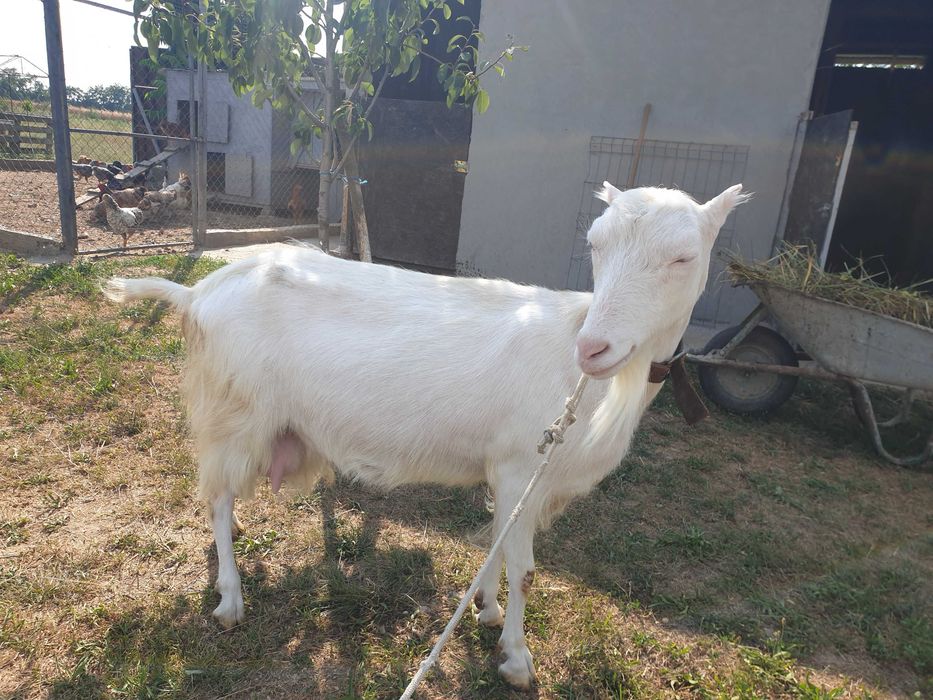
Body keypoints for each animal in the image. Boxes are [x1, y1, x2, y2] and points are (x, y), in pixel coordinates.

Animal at [104, 182, 746, 688]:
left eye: (684, 257)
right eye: (595, 244)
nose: (594, 347)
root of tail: (197, 292)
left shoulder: (510, 472)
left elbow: (496, 544)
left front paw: (486, 610)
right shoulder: (522, 465)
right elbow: (523, 566)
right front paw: (516, 659)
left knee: (221, 495)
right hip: (236, 412)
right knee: (215, 496)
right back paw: (231, 598)